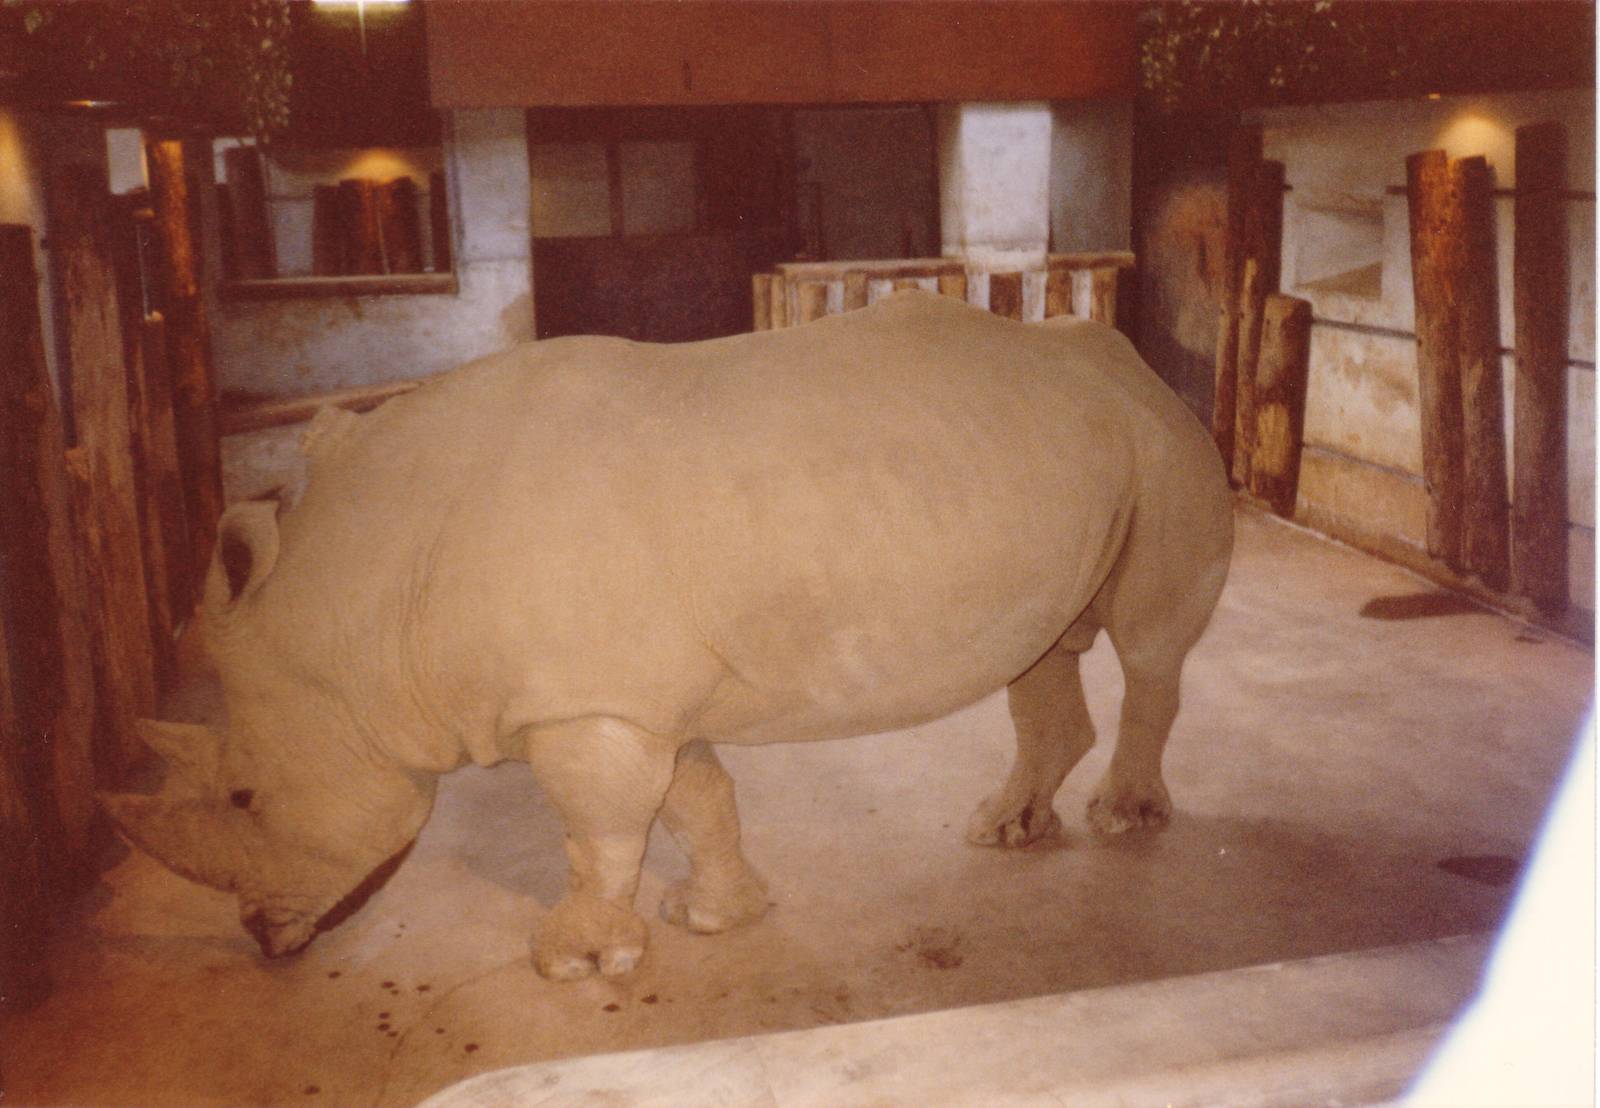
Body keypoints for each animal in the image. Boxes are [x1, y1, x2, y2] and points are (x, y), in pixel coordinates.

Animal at [103, 291, 1232, 980]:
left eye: (245, 796)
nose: (262, 940)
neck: (366, 604)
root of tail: (1129, 356)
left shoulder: (586, 704)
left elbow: (598, 829)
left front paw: (575, 961)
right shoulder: (633, 696)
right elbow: (695, 799)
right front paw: (718, 917)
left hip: (1160, 439)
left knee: (1147, 646)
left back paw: (1124, 822)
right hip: (1069, 451)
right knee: (1042, 649)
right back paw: (1005, 831)